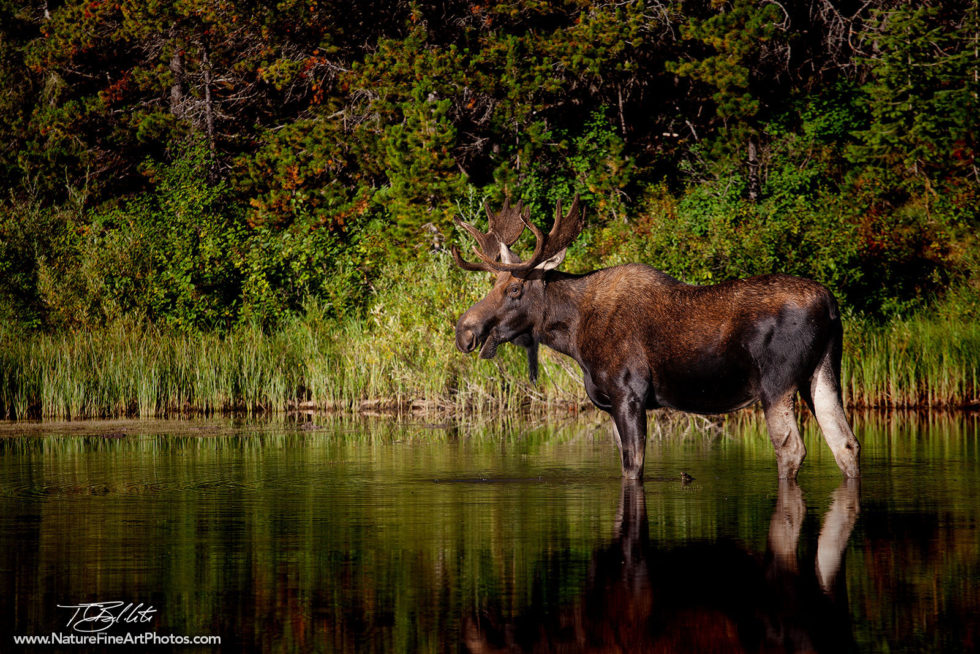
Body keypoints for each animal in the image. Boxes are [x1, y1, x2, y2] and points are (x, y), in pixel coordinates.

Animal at [452, 196, 856, 482]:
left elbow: (634, 467)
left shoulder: (629, 394)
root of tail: (831, 304)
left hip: (777, 384)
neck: (575, 336)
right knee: (846, 444)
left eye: (514, 288)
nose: (464, 331)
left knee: (792, 449)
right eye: (494, 283)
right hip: (822, 374)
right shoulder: (609, 404)